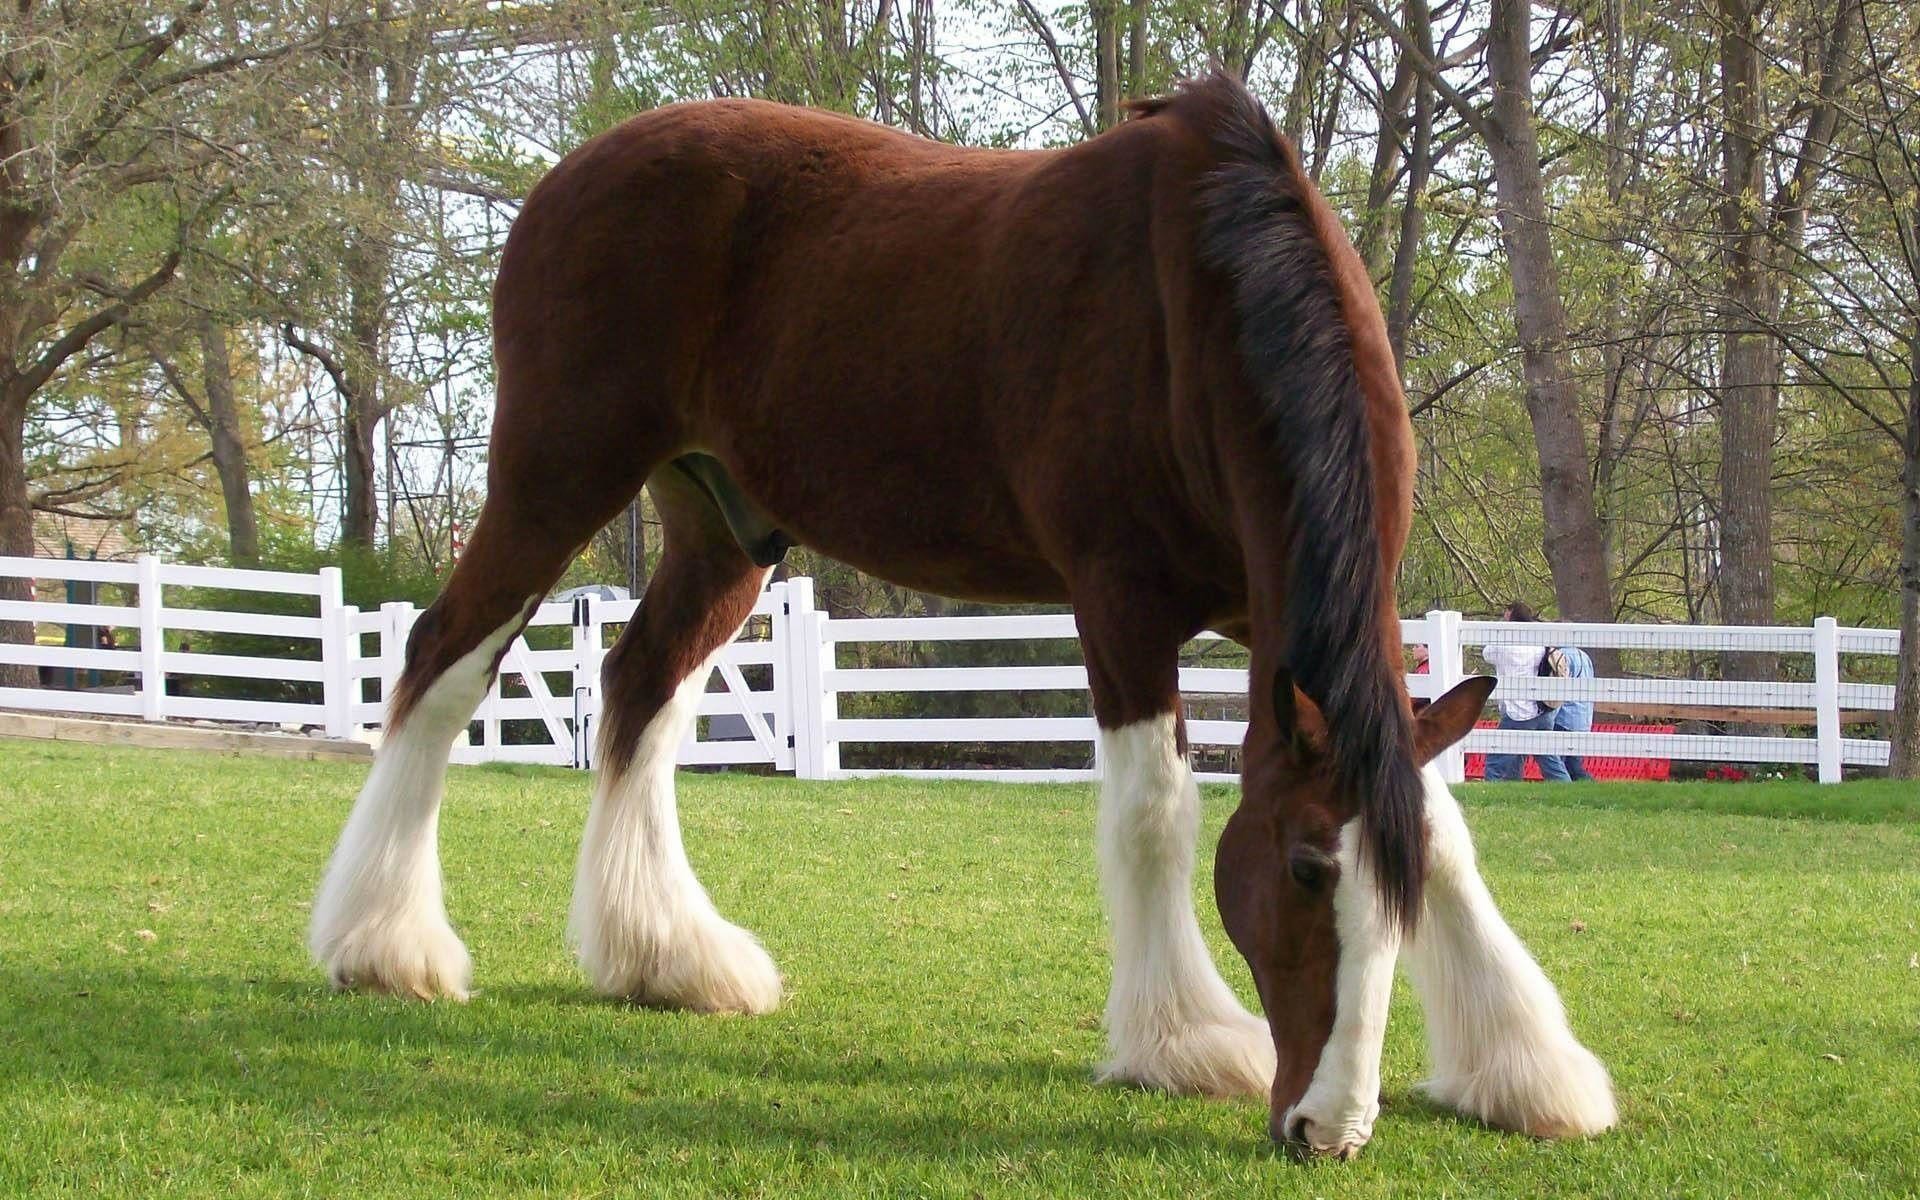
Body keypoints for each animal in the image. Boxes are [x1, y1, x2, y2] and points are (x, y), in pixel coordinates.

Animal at [307, 74, 1615, 1157]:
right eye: (1299, 871)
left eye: (1390, 899)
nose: (1326, 1131)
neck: (1201, 302)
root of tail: (573, 172)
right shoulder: (1122, 602)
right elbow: (1156, 814)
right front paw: (1185, 1042)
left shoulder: (1288, 624)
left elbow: (1439, 821)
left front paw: (1527, 1070)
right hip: (556, 470)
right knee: (444, 661)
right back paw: (384, 945)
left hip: (721, 525)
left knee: (641, 688)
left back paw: (668, 959)